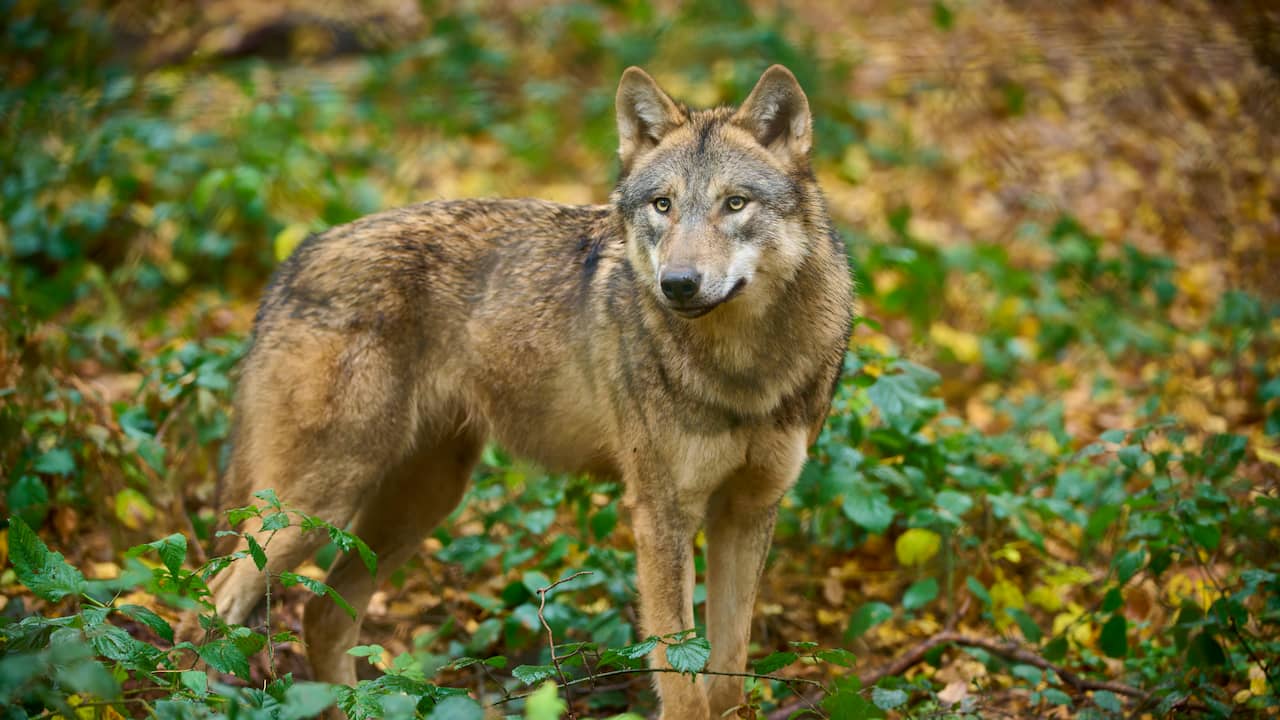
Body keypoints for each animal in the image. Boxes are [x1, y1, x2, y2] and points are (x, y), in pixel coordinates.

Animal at [209, 64, 853, 719]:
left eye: (735, 203)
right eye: (663, 205)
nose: (677, 284)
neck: (744, 370)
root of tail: (297, 256)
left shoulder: (748, 513)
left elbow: (727, 679)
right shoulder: (662, 516)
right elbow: (681, 684)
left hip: (417, 501)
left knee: (321, 616)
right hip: (316, 508)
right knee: (216, 603)